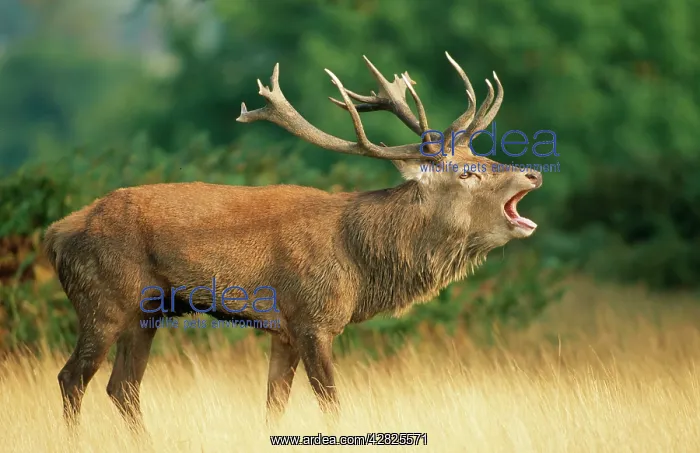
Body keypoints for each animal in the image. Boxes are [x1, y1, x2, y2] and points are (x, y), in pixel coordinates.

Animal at [43, 52, 542, 431]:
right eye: (468, 173)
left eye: (481, 155)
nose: (532, 173)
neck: (360, 264)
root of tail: (56, 233)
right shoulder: (312, 318)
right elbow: (333, 405)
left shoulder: (282, 332)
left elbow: (274, 407)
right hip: (102, 299)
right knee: (72, 379)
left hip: (146, 312)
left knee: (122, 388)